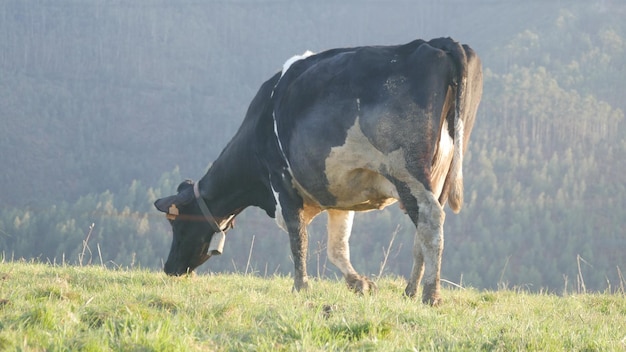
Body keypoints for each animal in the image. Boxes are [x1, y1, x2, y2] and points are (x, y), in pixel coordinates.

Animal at [152, 37, 482, 304]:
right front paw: (359, 283)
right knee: (424, 229)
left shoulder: (281, 182)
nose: (169, 268)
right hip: (438, 175)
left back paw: (430, 294)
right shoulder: (338, 192)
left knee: (430, 219)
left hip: (407, 169)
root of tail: (436, 43)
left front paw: (301, 287)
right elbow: (337, 247)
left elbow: (298, 238)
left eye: (177, 223)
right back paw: (410, 290)